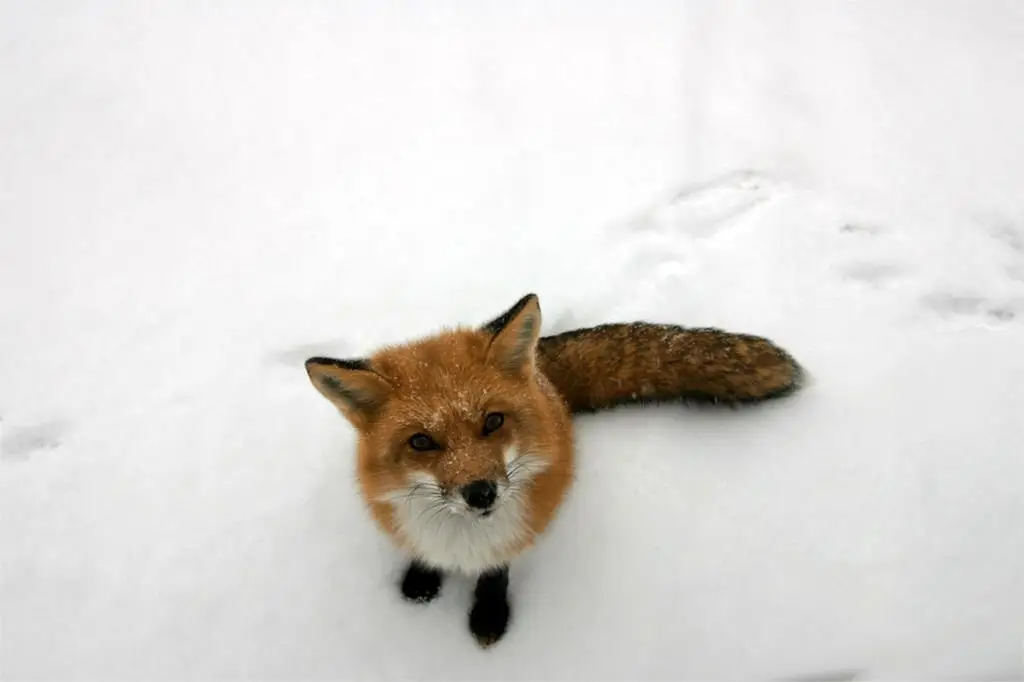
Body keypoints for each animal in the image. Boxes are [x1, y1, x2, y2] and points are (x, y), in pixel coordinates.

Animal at [304, 293, 803, 647]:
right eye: (421, 442)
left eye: (493, 422)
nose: (481, 493)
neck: (464, 541)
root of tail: (542, 375)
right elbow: (422, 554)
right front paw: (421, 582)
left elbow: (496, 572)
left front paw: (489, 615)